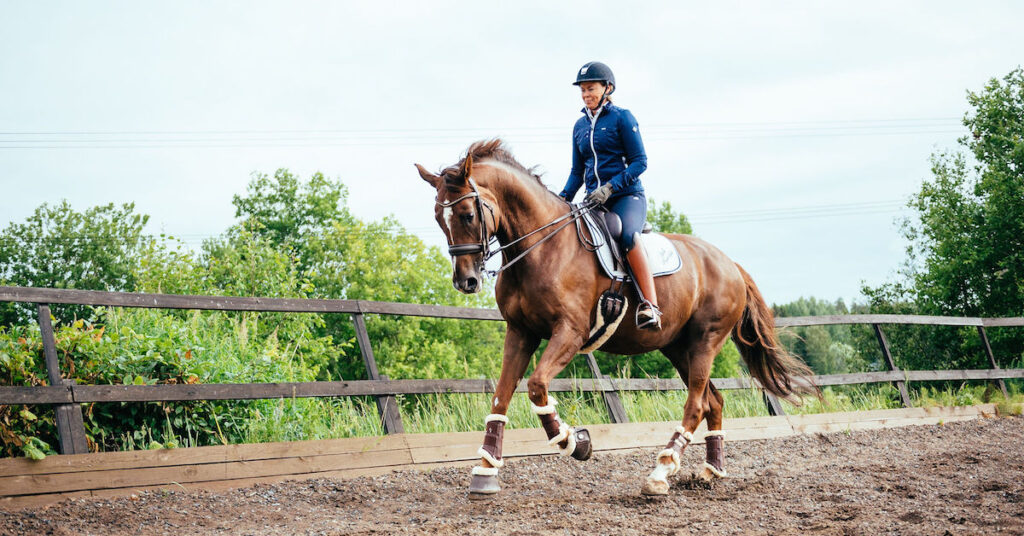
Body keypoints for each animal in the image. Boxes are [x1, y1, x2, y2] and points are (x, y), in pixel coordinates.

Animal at [415, 139, 815, 500]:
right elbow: (500, 399)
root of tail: (729, 263)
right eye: (438, 218)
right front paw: (484, 473)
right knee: (712, 402)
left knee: (696, 405)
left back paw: (660, 473)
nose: (466, 281)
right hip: (677, 347)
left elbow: (537, 385)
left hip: (705, 340)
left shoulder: (570, 332)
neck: (542, 248)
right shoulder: (520, 332)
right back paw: (709, 472)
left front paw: (575, 442)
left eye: (468, 214)